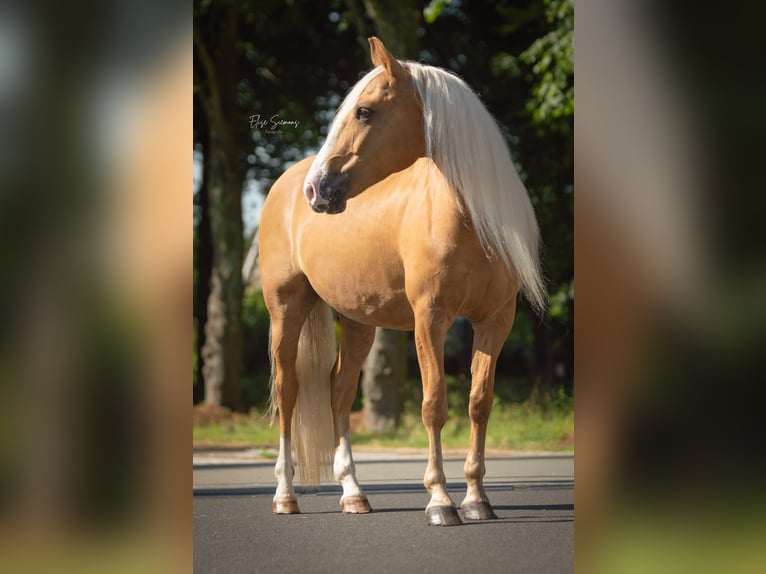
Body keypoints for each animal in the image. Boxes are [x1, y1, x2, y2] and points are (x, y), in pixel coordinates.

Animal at [260, 38, 544, 528]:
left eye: (365, 111)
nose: (317, 190)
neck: (468, 219)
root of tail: (285, 184)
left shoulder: (495, 322)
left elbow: (479, 402)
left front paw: (476, 499)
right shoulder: (430, 320)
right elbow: (434, 403)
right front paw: (440, 501)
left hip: (358, 323)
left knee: (339, 391)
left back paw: (353, 494)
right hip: (286, 310)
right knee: (288, 390)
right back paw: (284, 496)